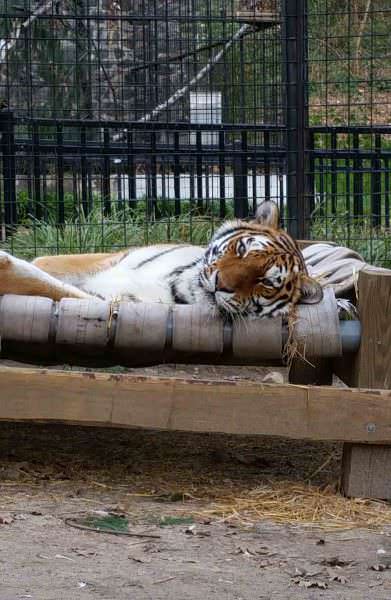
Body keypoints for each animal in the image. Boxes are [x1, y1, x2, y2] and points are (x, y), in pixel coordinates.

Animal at [0, 202, 358, 318]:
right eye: (243, 249)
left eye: (265, 282)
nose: (221, 284)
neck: (177, 281)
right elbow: (43, 265)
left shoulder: (110, 300)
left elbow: (45, 285)